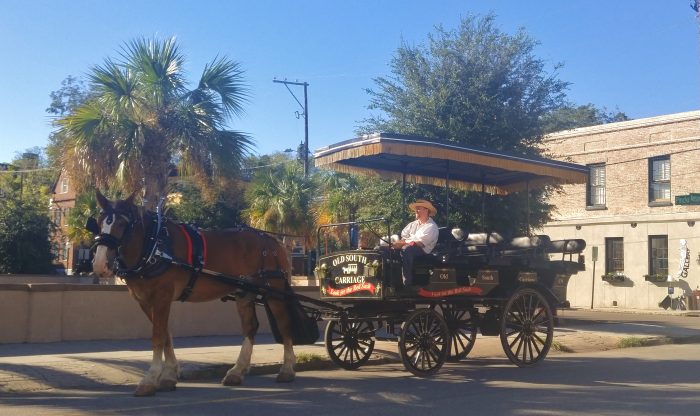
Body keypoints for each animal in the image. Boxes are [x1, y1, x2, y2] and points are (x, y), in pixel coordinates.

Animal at [89, 190, 296, 394]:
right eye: (99, 222)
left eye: (122, 223)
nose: (100, 264)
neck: (154, 245)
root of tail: (272, 240)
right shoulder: (145, 300)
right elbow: (166, 334)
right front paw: (169, 375)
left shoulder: (162, 295)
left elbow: (158, 335)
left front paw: (150, 378)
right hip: (244, 292)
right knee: (250, 327)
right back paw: (237, 371)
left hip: (275, 292)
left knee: (284, 324)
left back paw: (287, 369)